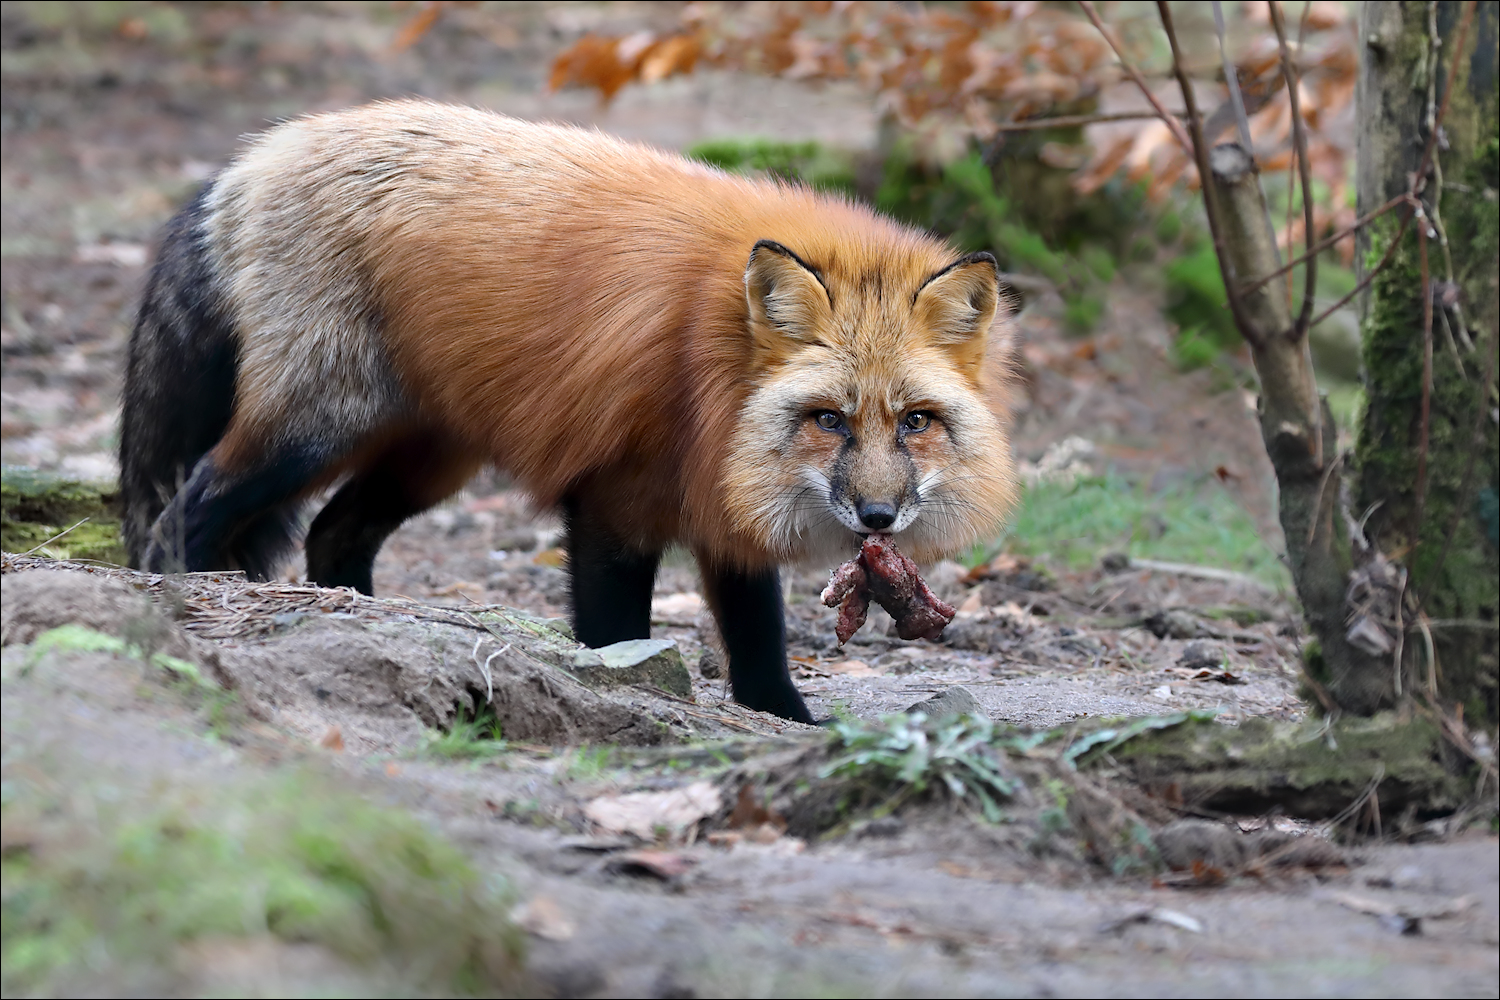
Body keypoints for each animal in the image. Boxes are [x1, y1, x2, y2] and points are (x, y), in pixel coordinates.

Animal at [120, 101, 1020, 722]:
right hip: (311, 429)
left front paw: (786, 721)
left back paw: (374, 621)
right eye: (829, 418)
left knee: (333, 533)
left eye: (915, 422)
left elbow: (758, 639)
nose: (878, 516)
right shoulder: (616, 495)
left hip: (429, 460)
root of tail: (256, 153)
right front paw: (620, 687)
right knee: (189, 506)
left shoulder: (720, 497)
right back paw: (172, 589)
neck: (708, 362)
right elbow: (618, 629)